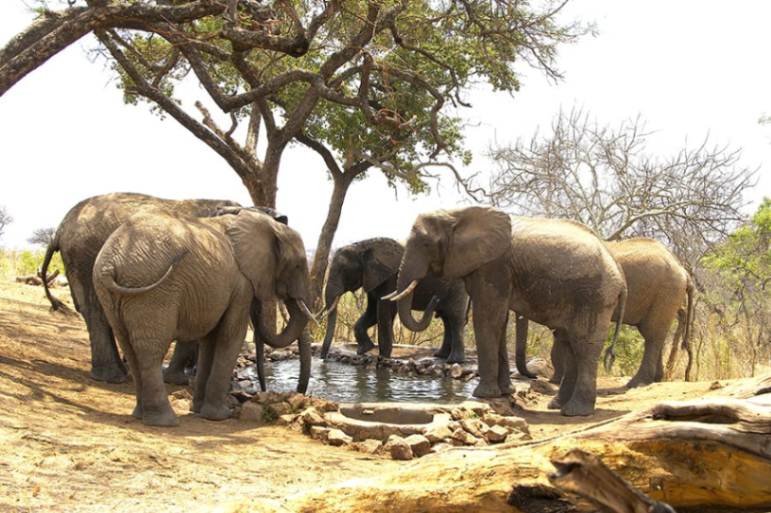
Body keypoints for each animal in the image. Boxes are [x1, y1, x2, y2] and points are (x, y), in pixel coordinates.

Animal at [93, 208, 312, 426]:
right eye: (299, 266)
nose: (299, 393)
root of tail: (109, 264)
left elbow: (210, 340)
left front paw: (198, 411)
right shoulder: (241, 284)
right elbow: (231, 336)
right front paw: (220, 416)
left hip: (110, 293)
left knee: (129, 346)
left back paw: (140, 415)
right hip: (152, 292)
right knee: (151, 351)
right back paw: (164, 421)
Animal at [318, 238, 469, 362]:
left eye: (343, 271)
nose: (324, 358)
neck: (363, 245)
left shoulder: (390, 278)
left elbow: (383, 312)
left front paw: (383, 357)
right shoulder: (373, 278)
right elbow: (372, 312)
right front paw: (364, 350)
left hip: (457, 287)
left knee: (455, 318)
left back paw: (453, 361)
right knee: (447, 319)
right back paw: (440, 356)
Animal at [391, 206, 626, 416]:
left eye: (425, 244)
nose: (436, 299)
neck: (458, 212)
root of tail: (621, 277)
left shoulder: (493, 266)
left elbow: (486, 318)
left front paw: (482, 395)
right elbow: (499, 321)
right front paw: (504, 392)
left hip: (595, 296)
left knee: (584, 346)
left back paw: (575, 412)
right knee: (570, 344)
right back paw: (557, 406)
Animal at [546, 238, 694, 388]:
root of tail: (683, 271)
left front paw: (555, 382)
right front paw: (555, 380)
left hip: (665, 293)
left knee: (652, 334)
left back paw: (636, 383)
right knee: (655, 334)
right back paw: (655, 379)